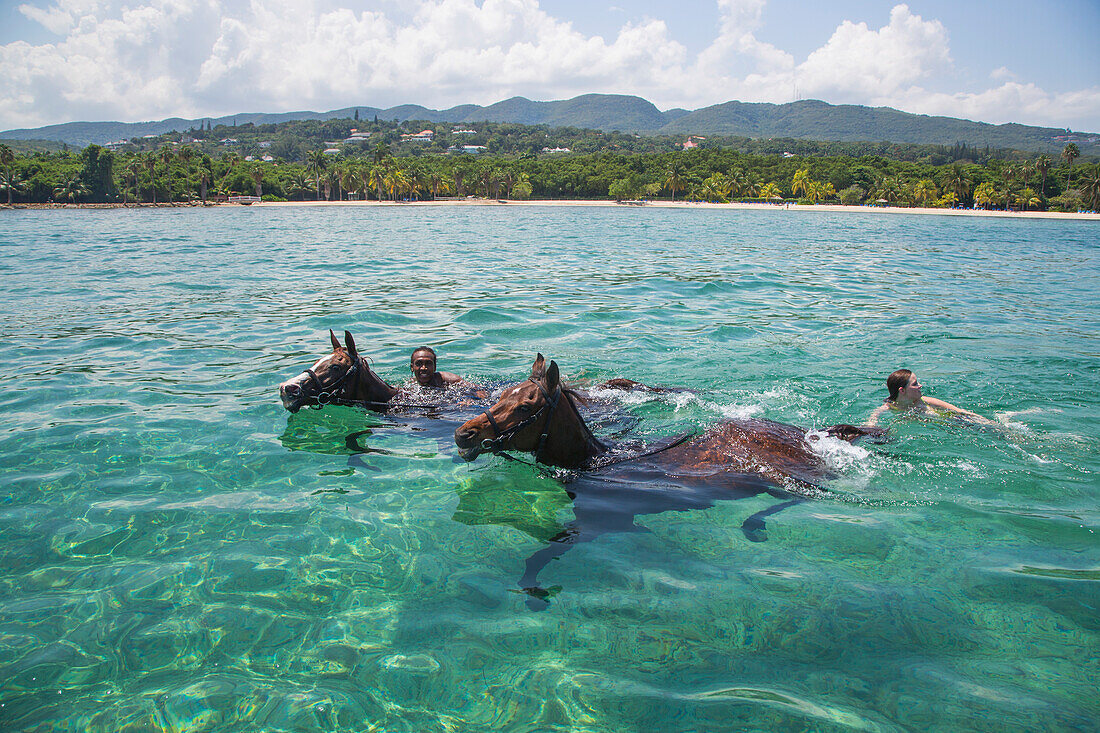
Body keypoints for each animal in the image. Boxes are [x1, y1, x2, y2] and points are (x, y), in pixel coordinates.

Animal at [451, 352, 880, 603]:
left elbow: (539, 555)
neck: (599, 463)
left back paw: (752, 525)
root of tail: (814, 434)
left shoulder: (604, 523)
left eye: (527, 405)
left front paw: (533, 590)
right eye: (503, 393)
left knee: (802, 498)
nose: (464, 434)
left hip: (781, 478)